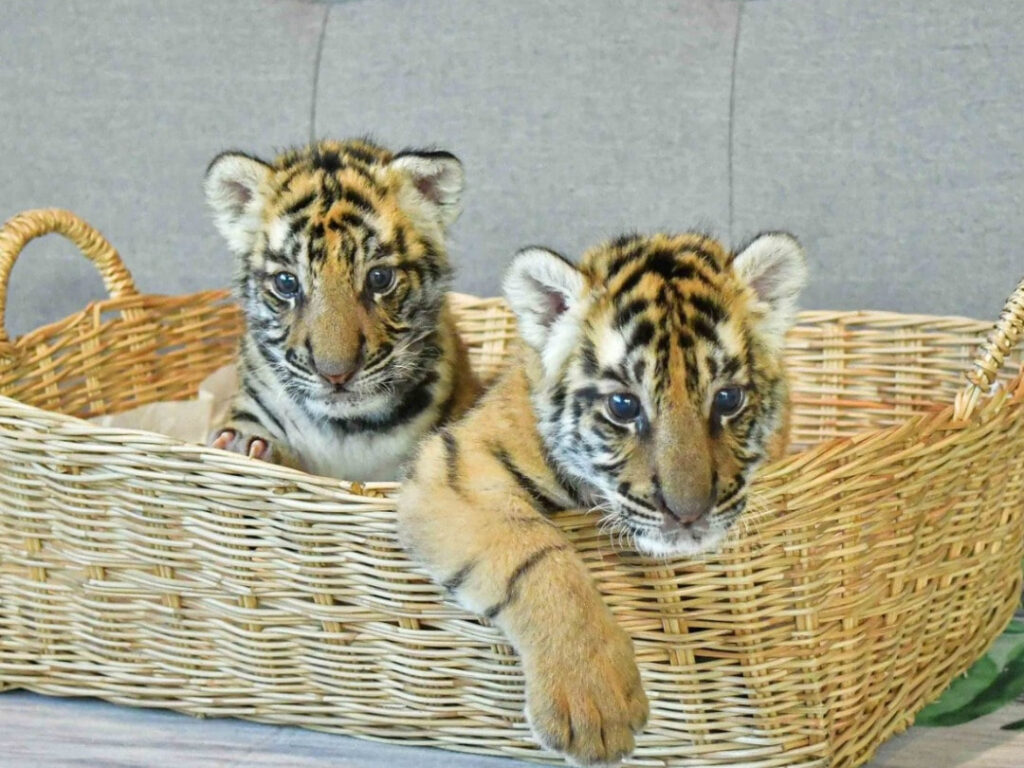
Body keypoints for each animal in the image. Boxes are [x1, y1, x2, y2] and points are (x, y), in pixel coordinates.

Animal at [398, 231, 807, 764]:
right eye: (623, 405)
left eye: (727, 399)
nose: (688, 514)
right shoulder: (459, 467)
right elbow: (538, 561)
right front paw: (594, 704)